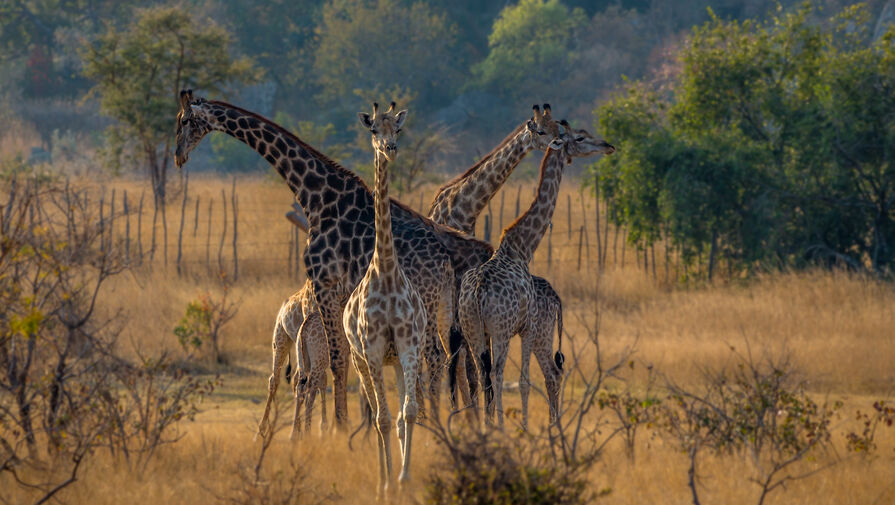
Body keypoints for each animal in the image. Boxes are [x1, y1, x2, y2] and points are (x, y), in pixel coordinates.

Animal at [458, 122, 620, 426]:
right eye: (580, 137)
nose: (608, 146)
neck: (521, 247)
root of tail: (476, 294)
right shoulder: (527, 326)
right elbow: (523, 381)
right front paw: (522, 426)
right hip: (502, 330)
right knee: (502, 373)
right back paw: (510, 427)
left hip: (472, 329)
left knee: (483, 374)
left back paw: (487, 427)